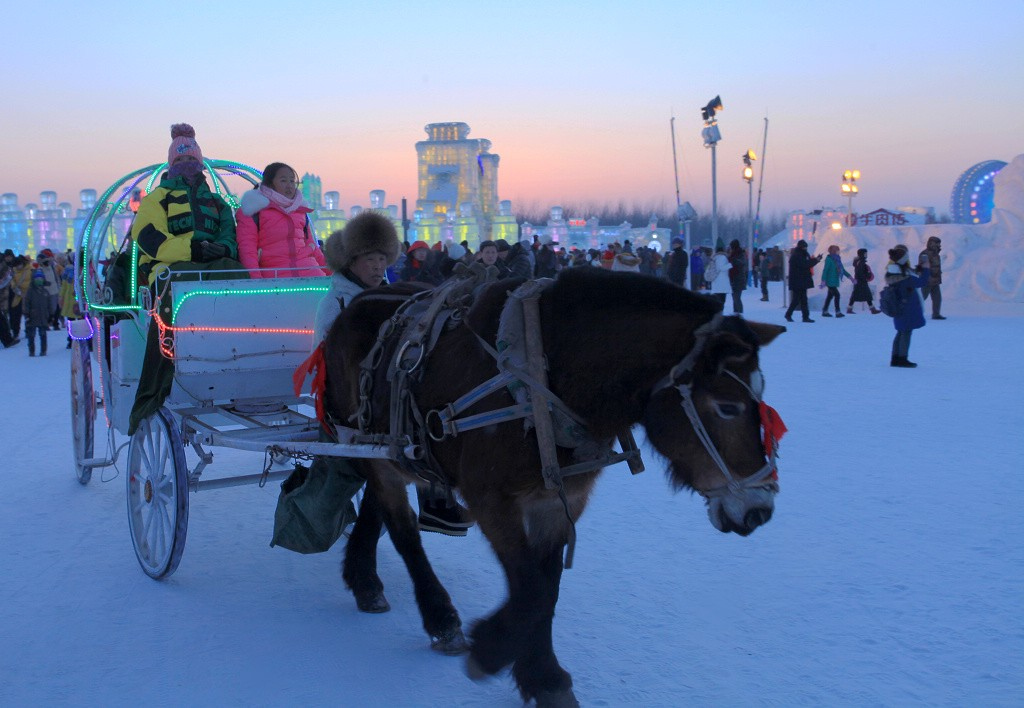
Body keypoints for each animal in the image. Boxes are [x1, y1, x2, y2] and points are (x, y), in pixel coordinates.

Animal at [323, 266, 786, 708]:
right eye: (728, 407)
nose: (760, 510)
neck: (545, 374)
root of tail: (354, 305)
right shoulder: (491, 499)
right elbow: (530, 590)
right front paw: (494, 650)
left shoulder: (560, 501)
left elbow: (547, 588)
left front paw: (542, 677)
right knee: (403, 531)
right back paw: (439, 617)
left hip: (385, 447)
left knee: (378, 505)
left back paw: (364, 580)